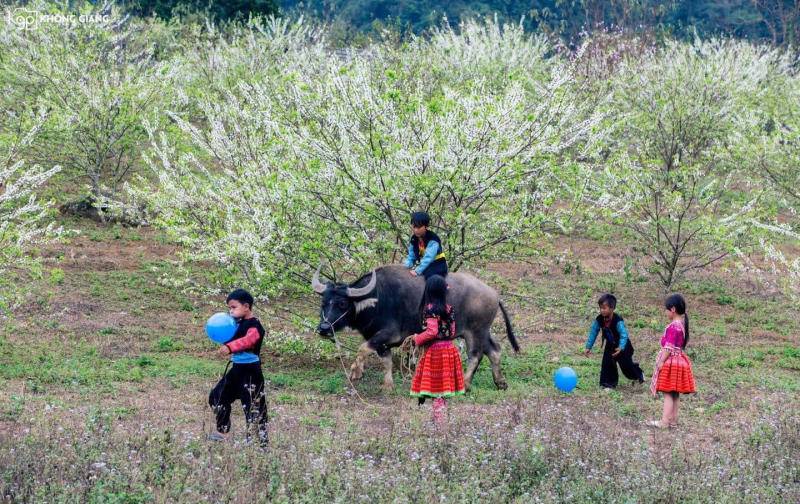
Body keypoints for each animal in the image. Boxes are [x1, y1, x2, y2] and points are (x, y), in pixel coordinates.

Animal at [312, 266, 520, 392]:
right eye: (323, 303)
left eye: (342, 303)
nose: (323, 328)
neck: (377, 299)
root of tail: (494, 294)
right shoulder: (382, 342)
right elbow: (386, 361)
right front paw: (388, 385)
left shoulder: (388, 334)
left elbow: (362, 348)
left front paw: (356, 372)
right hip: (483, 331)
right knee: (494, 350)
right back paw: (500, 382)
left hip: (475, 332)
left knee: (475, 355)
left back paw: (466, 384)